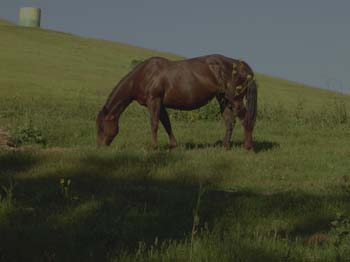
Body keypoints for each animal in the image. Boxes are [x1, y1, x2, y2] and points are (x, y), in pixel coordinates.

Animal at [95, 53, 258, 149]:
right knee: (230, 121)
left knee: (246, 119)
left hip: (235, 99)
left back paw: (247, 146)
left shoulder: (154, 101)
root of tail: (240, 65)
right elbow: (166, 123)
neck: (145, 74)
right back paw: (225, 146)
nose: (100, 146)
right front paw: (173, 145)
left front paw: (153, 147)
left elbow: (154, 124)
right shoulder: (160, 104)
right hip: (224, 99)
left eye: (101, 127)